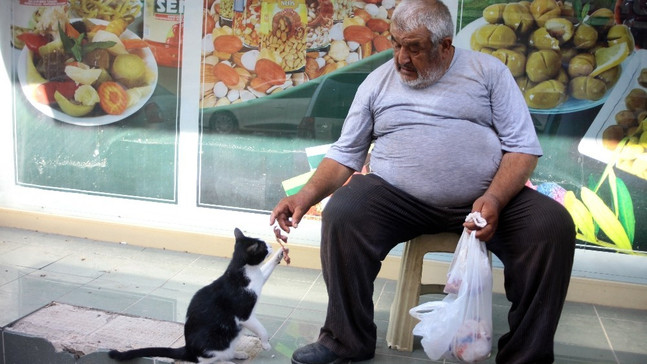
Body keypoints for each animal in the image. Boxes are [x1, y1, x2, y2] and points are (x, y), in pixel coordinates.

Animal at [110, 229, 288, 362]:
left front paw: (280, 253)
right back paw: (227, 361)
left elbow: (266, 269)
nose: (271, 245)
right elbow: (261, 329)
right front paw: (265, 344)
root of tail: (188, 349)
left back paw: (237, 354)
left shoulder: (259, 278)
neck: (244, 269)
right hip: (216, 342)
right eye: (263, 246)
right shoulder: (245, 315)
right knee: (207, 360)